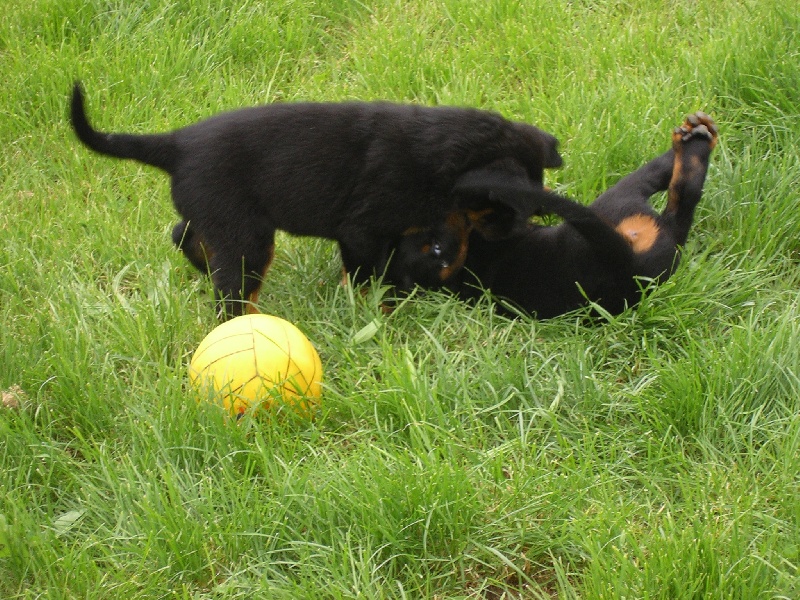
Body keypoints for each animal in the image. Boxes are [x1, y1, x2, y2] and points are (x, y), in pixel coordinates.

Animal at [70, 85, 564, 318]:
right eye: (504, 209)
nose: (519, 233)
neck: (439, 157)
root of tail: (176, 145)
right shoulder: (361, 229)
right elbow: (367, 274)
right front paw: (376, 310)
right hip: (246, 236)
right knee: (232, 293)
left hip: (221, 218)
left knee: (182, 233)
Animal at [394, 112, 720, 318]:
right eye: (435, 249)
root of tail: (626, 265)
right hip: (618, 203)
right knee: (679, 191)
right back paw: (696, 140)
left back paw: (695, 131)